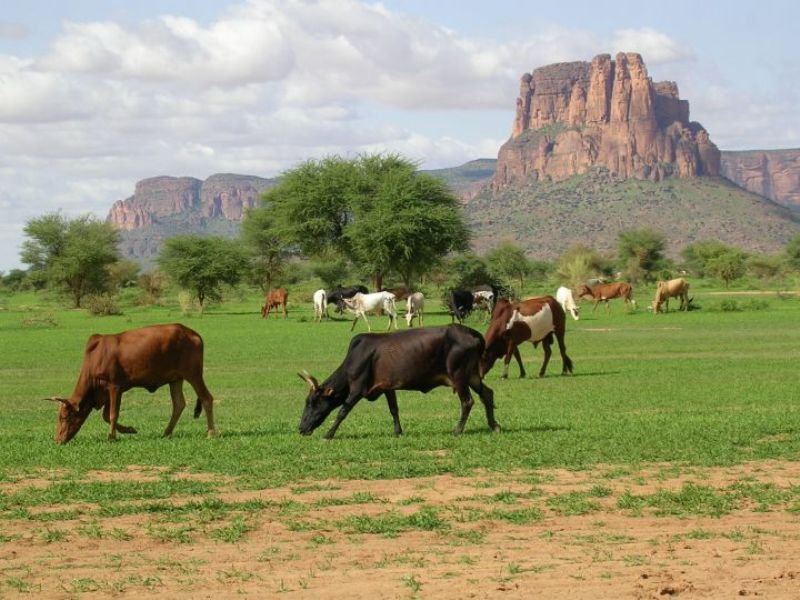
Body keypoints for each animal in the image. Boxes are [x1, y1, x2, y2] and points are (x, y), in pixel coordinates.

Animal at [47, 324, 216, 446]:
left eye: (64, 417)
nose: (58, 440)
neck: (96, 357)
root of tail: (193, 334)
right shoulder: (107, 392)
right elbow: (106, 416)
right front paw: (129, 429)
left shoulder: (115, 387)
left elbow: (112, 414)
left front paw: (111, 436)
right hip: (175, 380)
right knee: (179, 404)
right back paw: (166, 432)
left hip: (193, 375)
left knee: (206, 398)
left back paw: (211, 433)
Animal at [298, 326, 500, 438]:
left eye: (312, 403)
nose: (301, 428)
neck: (355, 357)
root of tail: (473, 333)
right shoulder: (387, 387)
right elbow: (394, 409)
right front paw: (397, 432)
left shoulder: (357, 389)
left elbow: (342, 411)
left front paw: (328, 434)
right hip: (472, 375)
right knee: (487, 394)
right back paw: (494, 426)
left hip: (459, 376)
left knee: (468, 401)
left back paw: (457, 430)